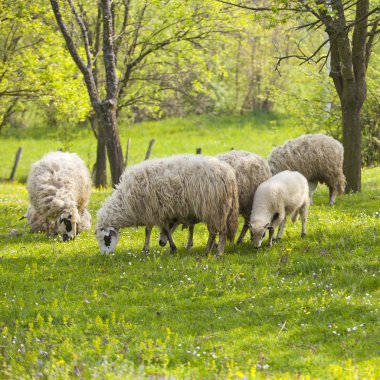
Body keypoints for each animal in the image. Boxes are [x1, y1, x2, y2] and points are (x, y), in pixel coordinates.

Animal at [95, 153, 238, 256]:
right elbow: (150, 230)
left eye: (106, 238)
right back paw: (208, 251)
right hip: (217, 209)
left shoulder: (156, 211)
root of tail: (229, 174)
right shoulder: (152, 211)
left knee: (220, 232)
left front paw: (172, 248)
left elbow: (163, 230)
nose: (105, 255)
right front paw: (146, 249)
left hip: (215, 208)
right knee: (215, 232)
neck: (125, 201)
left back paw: (217, 253)